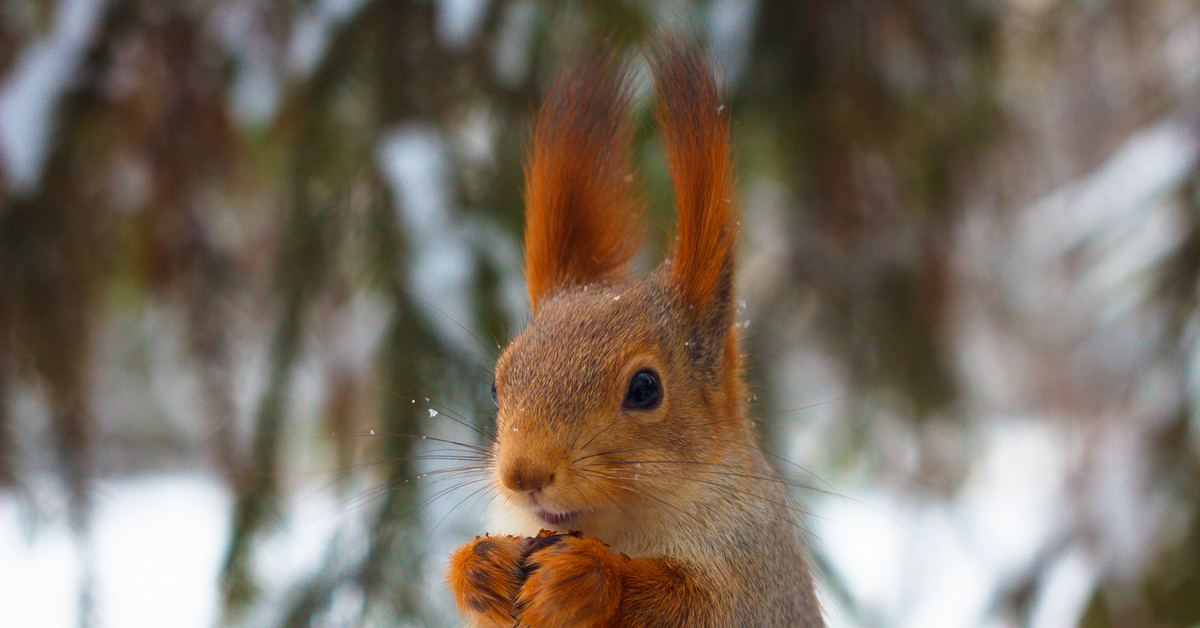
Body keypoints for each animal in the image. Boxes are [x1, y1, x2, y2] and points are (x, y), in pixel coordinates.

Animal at [446, 39, 820, 628]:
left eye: (645, 388)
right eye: (495, 386)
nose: (523, 475)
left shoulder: (754, 576)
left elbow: (693, 605)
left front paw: (585, 576)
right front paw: (480, 568)